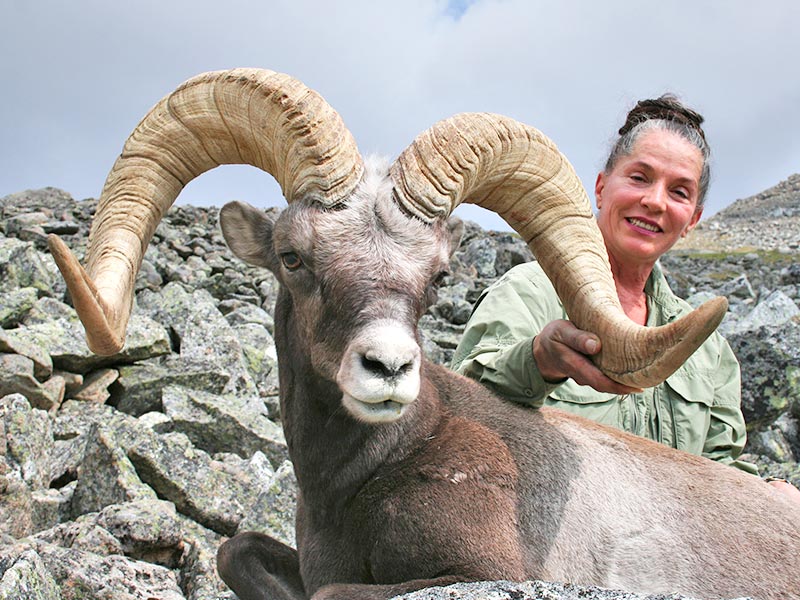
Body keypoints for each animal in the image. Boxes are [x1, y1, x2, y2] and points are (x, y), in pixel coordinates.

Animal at [48, 68, 800, 600]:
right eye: (292, 257)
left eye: (438, 274)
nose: (386, 370)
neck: (362, 480)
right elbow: (236, 551)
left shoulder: (476, 572)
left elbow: (332, 593)